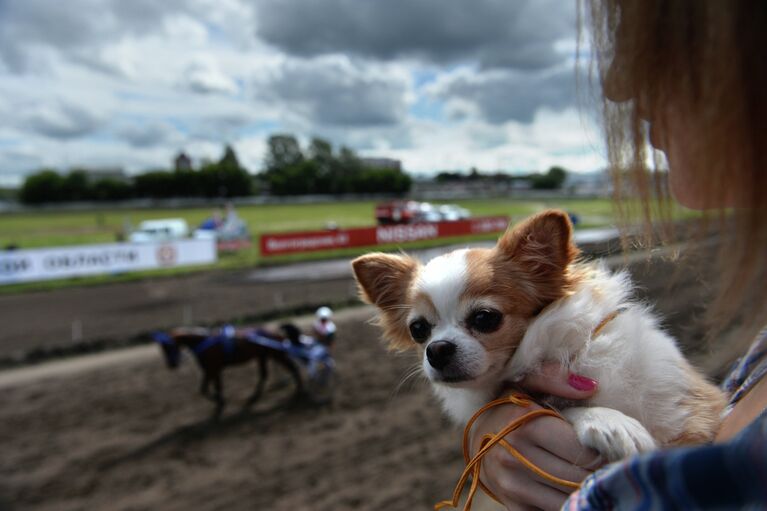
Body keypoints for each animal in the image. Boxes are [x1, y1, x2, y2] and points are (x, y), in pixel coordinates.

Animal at [354, 210, 728, 462]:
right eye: (418, 329)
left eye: (485, 318)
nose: (437, 349)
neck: (553, 350)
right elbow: (558, 406)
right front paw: (610, 420)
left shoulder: (692, 408)